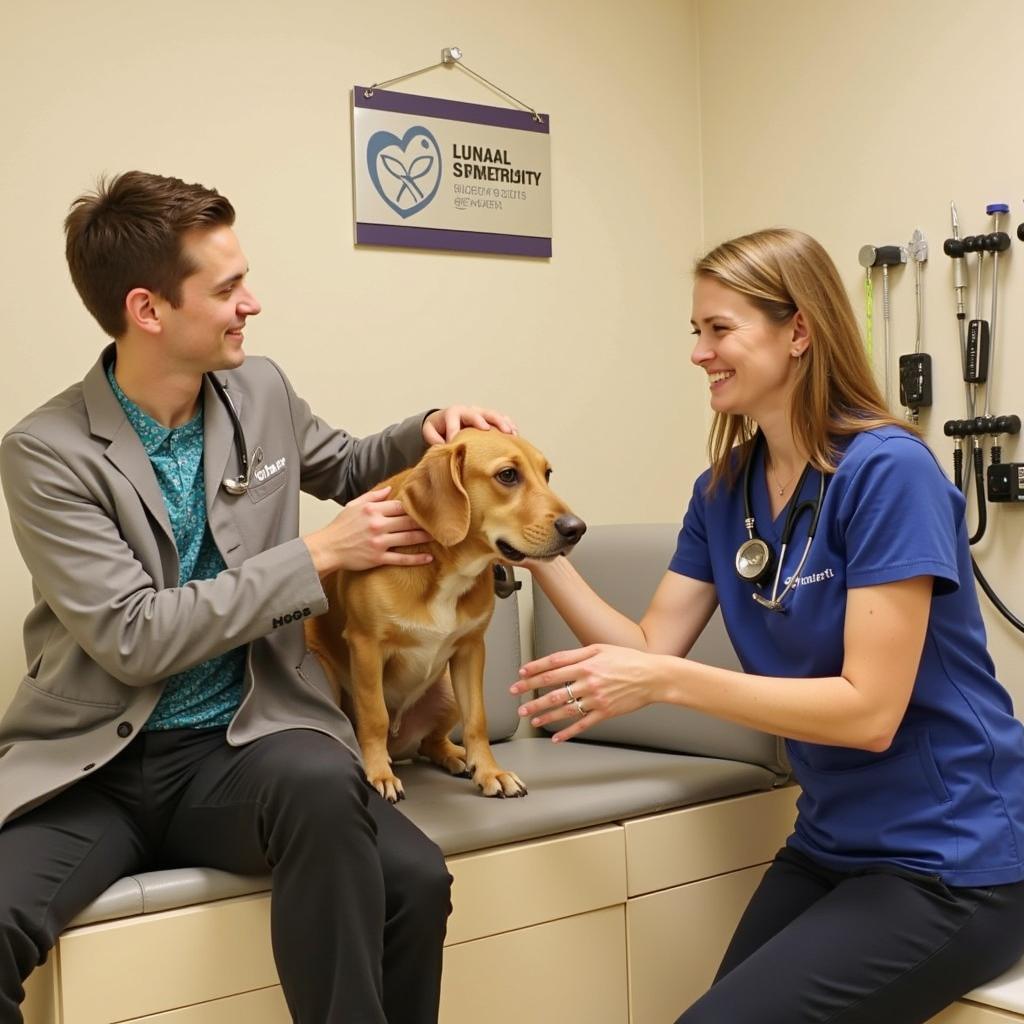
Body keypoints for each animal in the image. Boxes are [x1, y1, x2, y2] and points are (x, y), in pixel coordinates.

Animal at [305, 428, 585, 802]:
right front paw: (378, 773)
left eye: (547, 474)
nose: (577, 528)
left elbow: (477, 721)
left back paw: (457, 757)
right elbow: (374, 716)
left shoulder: (471, 650)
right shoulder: (366, 646)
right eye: (508, 475)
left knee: (431, 742)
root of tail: (401, 746)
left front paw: (490, 771)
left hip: (449, 688)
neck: (450, 568)